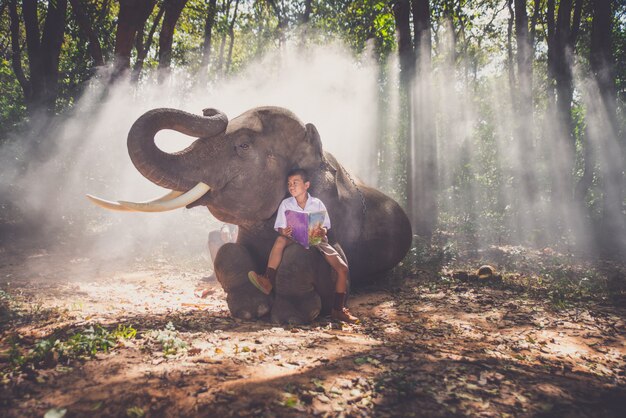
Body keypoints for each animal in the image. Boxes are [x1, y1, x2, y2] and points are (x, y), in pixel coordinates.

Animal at [86, 107, 410, 324]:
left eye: (243, 145)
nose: (208, 110)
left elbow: (325, 265)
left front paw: (292, 316)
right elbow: (229, 250)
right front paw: (250, 310)